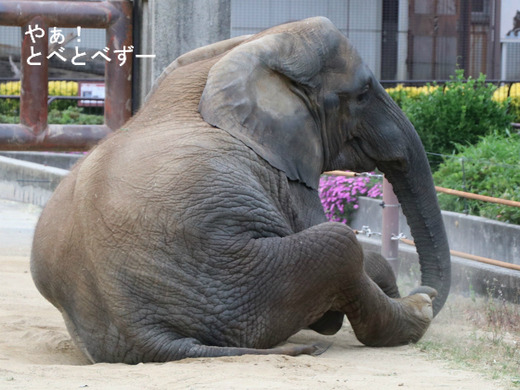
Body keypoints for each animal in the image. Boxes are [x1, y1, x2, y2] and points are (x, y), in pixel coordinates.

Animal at [30, 16, 448, 364]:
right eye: (362, 93)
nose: (426, 287)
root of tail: (144, 331)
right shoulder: (283, 173)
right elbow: (337, 241)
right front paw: (402, 292)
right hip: (238, 283)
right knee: (339, 244)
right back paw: (417, 311)